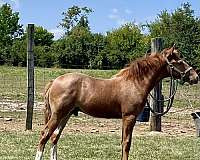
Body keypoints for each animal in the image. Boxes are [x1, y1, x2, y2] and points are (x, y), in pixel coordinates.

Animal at [34, 46, 198, 160]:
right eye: (178, 61)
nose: (195, 77)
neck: (135, 82)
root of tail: (54, 81)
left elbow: (123, 142)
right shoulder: (129, 117)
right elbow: (126, 143)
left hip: (66, 115)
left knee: (54, 137)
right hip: (57, 115)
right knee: (45, 135)